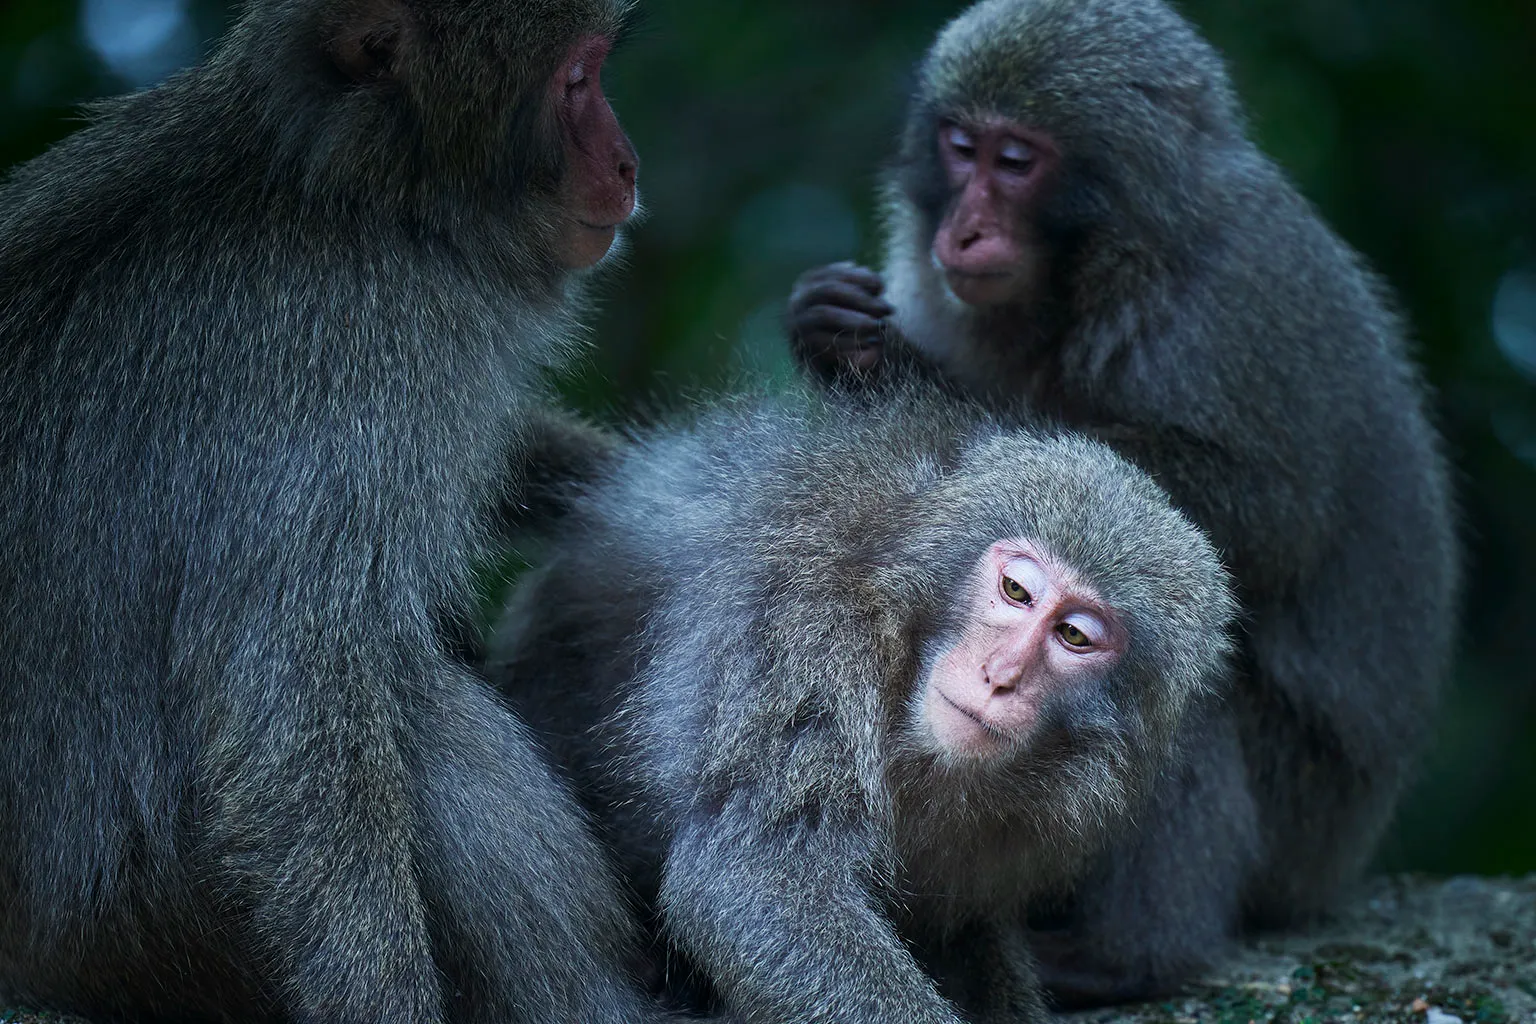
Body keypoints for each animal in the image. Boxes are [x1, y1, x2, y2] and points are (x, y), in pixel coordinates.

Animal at [0, 2, 681, 1024]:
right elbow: (286, 707)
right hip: (153, 928)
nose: (631, 162)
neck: (347, 192)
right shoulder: (342, 353)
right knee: (406, 708)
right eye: (576, 79)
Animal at [488, 388, 1234, 1024]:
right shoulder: (810, 634)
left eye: (1074, 636)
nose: (1000, 676)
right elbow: (759, 883)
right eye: (1017, 592)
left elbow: (960, 929)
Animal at [786, 0, 1456, 1007]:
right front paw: (823, 327)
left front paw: (897, 365)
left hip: (1302, 822)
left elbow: (1264, 518)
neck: (1099, 264)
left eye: (1015, 161)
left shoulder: (1233, 296)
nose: (964, 231)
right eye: (959, 147)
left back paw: (1126, 957)